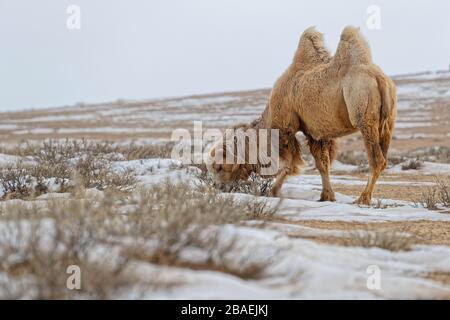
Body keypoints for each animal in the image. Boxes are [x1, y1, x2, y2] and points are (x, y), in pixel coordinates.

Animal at [206, 25, 396, 205]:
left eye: (219, 167)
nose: (218, 187)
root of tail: (380, 79)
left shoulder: (287, 127)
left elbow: (291, 163)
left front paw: (272, 192)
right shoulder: (317, 131)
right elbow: (322, 163)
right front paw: (326, 196)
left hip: (363, 114)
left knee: (376, 158)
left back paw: (363, 198)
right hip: (387, 123)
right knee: (383, 155)